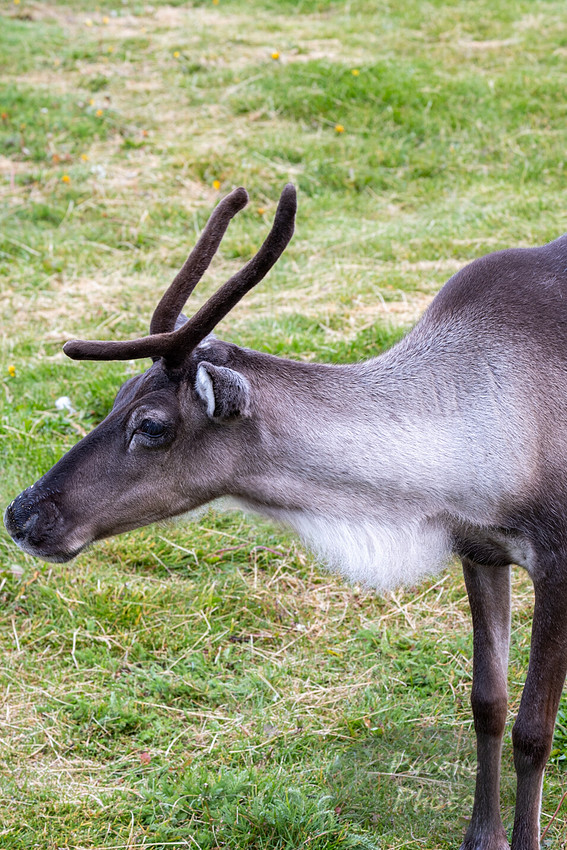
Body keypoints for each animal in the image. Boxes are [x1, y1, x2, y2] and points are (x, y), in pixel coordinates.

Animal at [4, 183, 567, 849]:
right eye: (117, 397)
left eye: (152, 426)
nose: (22, 513)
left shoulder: (557, 561)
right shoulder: (479, 548)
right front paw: (482, 837)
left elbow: (533, 731)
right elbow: (488, 705)